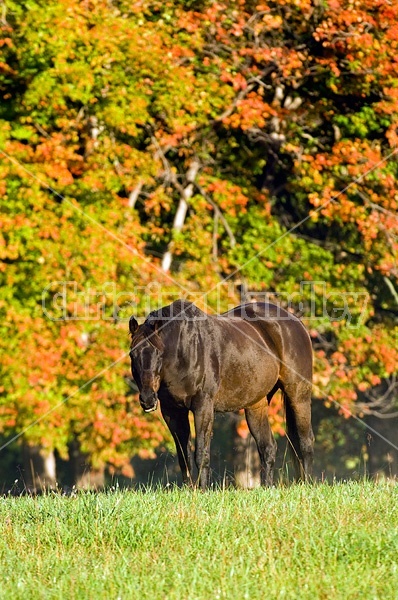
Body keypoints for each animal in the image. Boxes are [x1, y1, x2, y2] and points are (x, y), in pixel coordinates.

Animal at [129, 300, 316, 488]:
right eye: (132, 354)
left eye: (159, 353)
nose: (147, 399)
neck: (183, 352)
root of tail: (296, 323)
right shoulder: (172, 412)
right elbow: (184, 457)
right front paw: (189, 490)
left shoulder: (203, 407)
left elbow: (201, 454)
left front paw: (203, 490)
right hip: (257, 405)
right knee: (268, 448)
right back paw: (267, 487)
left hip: (298, 395)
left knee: (305, 442)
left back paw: (307, 484)